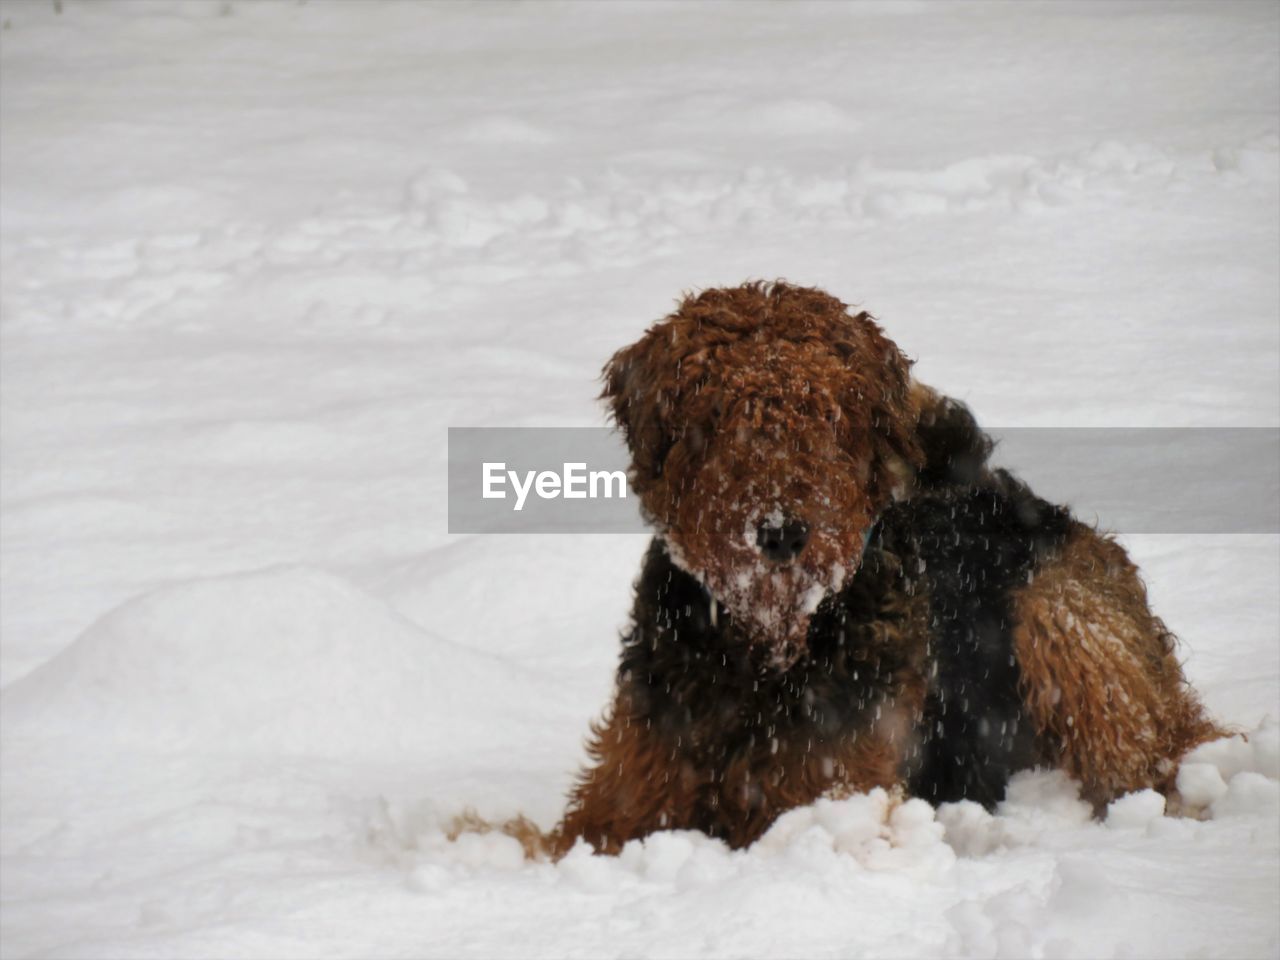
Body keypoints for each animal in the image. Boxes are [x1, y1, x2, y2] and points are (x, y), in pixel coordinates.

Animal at [542, 281, 1218, 860]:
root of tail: (992, 492)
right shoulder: (625, 798)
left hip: (1069, 635)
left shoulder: (834, 795)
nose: (780, 533)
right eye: (717, 412)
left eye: (825, 414)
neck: (763, 655)